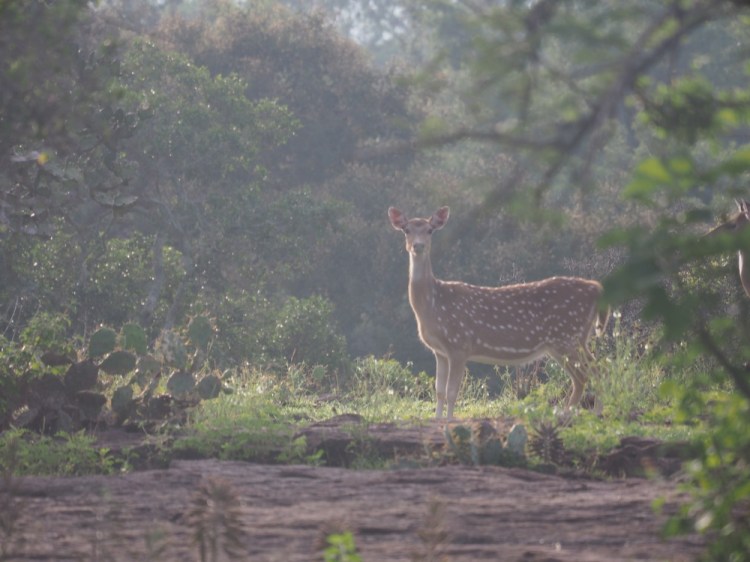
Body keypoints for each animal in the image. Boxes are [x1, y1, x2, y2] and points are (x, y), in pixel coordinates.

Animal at [388, 206, 610, 419]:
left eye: (430, 230)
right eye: (406, 230)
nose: (418, 246)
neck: (432, 306)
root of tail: (597, 288)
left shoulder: (459, 344)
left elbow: (452, 392)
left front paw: (449, 422)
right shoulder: (440, 351)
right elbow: (439, 392)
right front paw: (437, 420)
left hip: (567, 336)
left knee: (588, 374)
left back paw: (586, 412)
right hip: (567, 341)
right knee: (591, 372)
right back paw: (582, 412)